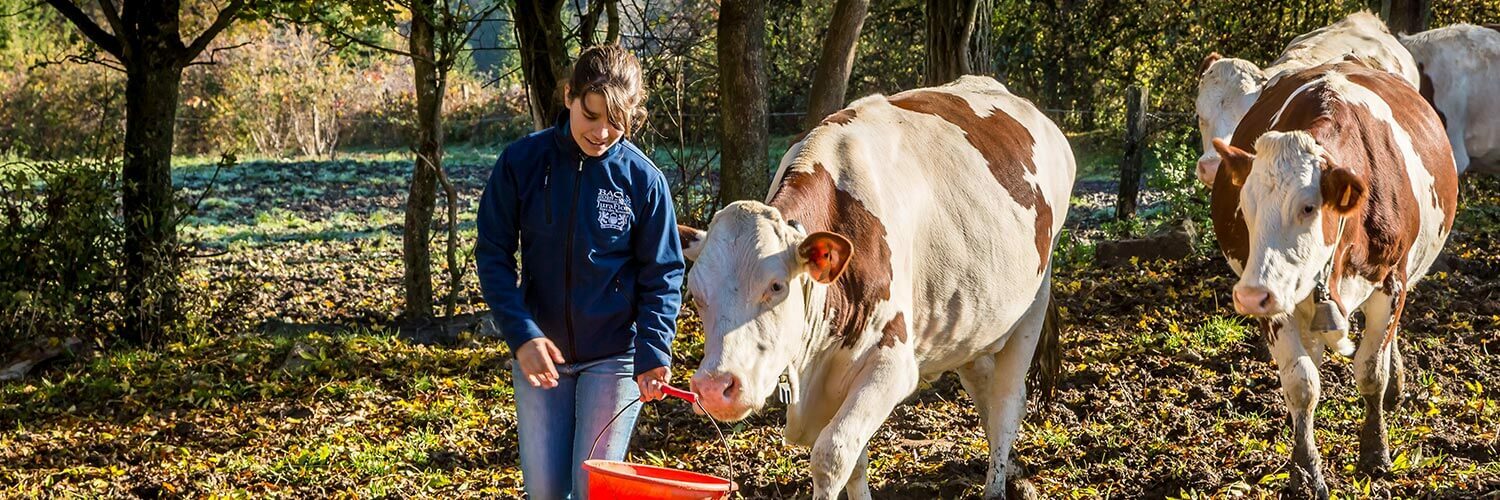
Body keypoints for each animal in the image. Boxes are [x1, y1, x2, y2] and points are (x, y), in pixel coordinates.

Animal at [675, 75, 1074, 495]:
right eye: (696, 296)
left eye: (777, 286)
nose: (715, 387)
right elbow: (856, 461)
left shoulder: (892, 363)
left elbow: (833, 454)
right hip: (974, 319)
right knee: (982, 385)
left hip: (1033, 304)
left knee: (1007, 403)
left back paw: (996, 485)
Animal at [1212, 60, 1458, 495]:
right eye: (1245, 204)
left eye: (1309, 207)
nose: (1250, 296)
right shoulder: (1279, 300)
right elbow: (1302, 384)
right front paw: (1305, 470)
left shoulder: (1391, 285)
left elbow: (1371, 371)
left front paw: (1375, 452)